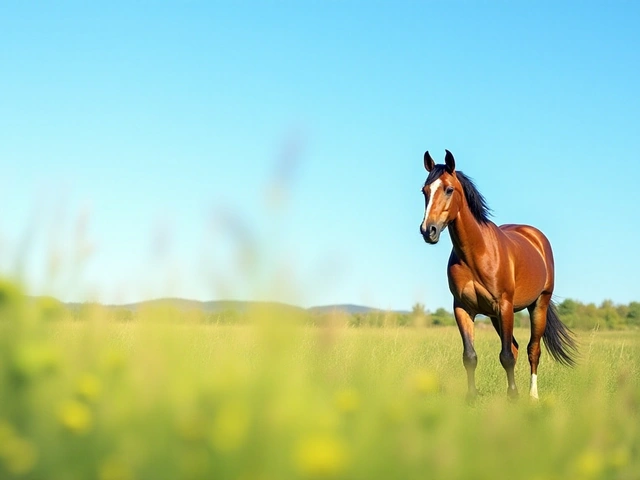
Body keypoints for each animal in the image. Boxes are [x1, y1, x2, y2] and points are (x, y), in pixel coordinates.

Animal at [418, 152, 576, 400]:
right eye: (424, 190)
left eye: (449, 189)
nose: (428, 230)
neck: (476, 252)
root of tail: (535, 236)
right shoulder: (463, 308)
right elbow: (470, 356)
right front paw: (473, 397)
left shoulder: (504, 305)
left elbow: (506, 356)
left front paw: (514, 397)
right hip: (494, 316)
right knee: (516, 347)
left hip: (538, 304)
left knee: (532, 350)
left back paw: (532, 396)